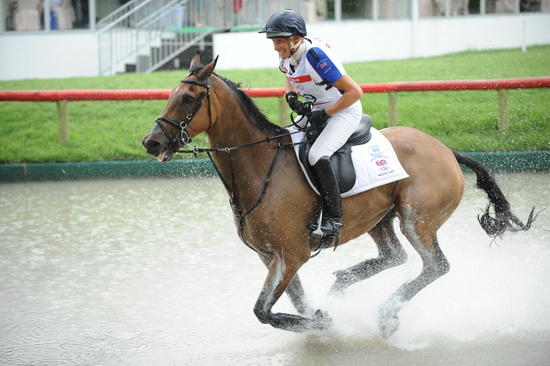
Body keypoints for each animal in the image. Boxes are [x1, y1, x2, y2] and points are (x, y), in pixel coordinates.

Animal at [140, 51, 536, 338]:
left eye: (188, 98)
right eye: (170, 95)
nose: (151, 142)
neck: (259, 165)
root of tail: (446, 150)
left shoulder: (291, 254)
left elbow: (264, 311)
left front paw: (325, 322)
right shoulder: (270, 257)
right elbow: (291, 303)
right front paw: (320, 316)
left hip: (417, 219)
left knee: (435, 265)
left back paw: (386, 314)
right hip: (380, 217)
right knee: (394, 256)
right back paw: (344, 282)